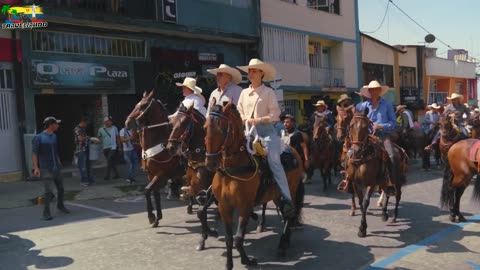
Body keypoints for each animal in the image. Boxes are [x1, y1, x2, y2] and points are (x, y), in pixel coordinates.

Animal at [124, 90, 184, 228]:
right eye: (136, 104)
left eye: (143, 105)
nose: (127, 123)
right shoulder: (150, 175)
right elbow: (155, 194)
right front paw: (157, 218)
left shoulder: (161, 174)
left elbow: (147, 191)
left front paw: (151, 217)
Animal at [165, 103, 218, 251]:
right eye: (171, 123)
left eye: (184, 123)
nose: (170, 148)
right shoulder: (197, 189)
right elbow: (202, 211)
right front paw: (208, 233)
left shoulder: (206, 190)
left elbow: (201, 211)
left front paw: (203, 238)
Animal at [203, 102, 304, 270]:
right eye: (205, 127)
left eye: (222, 128)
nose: (210, 162)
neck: (232, 170)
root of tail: (294, 151)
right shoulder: (224, 206)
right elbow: (229, 238)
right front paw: (229, 264)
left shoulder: (245, 206)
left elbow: (238, 238)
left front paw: (247, 261)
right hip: (276, 195)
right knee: (286, 214)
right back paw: (286, 241)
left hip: (291, 189)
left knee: (290, 213)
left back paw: (282, 245)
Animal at [346, 108, 406, 237]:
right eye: (351, 125)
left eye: (365, 127)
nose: (355, 151)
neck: (362, 158)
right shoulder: (355, 183)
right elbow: (360, 202)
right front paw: (363, 226)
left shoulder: (371, 183)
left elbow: (365, 202)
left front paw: (362, 229)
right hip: (384, 181)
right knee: (387, 193)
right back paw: (384, 214)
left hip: (397, 180)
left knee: (397, 195)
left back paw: (394, 217)